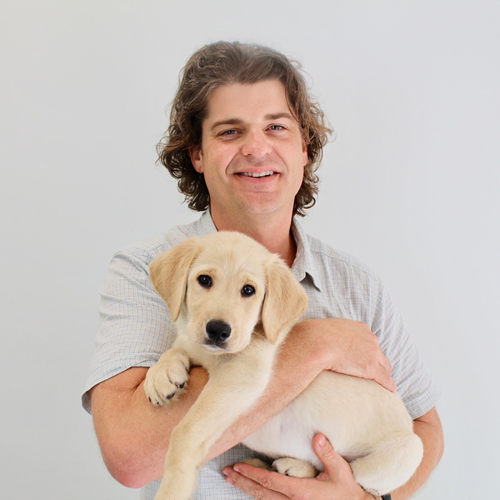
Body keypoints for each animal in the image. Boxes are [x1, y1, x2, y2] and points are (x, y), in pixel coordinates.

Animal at [144, 232, 422, 498]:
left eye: (248, 290)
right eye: (204, 280)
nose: (217, 331)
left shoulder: (243, 374)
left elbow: (185, 431)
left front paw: (173, 488)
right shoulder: (195, 343)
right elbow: (177, 347)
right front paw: (160, 375)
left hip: (406, 452)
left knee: (338, 473)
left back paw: (294, 467)